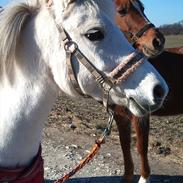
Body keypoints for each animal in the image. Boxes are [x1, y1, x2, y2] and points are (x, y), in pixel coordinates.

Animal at [113, 0, 182, 183]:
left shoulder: (141, 115)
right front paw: (127, 177)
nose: (158, 40)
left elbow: (141, 147)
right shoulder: (120, 115)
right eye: (122, 11)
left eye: (143, 8)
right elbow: (125, 144)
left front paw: (144, 178)